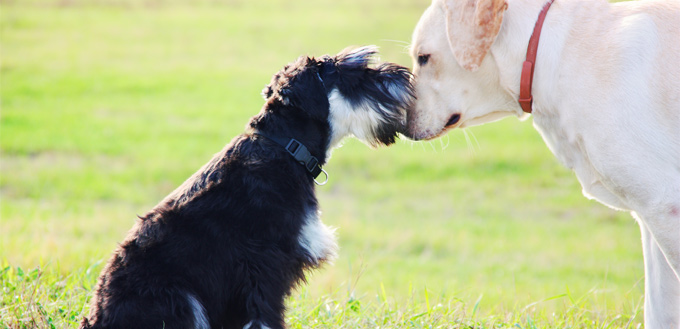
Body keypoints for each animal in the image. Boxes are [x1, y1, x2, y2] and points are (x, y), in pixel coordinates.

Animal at [79, 46, 410, 328]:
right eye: (355, 74)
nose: (404, 75)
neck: (284, 148)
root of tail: (96, 319)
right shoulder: (261, 267)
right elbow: (262, 317)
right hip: (178, 299)